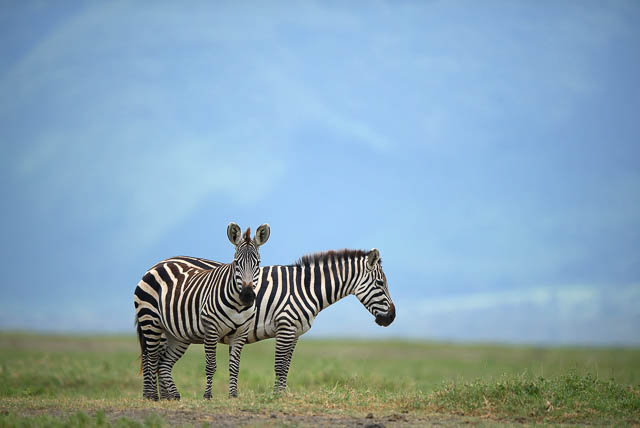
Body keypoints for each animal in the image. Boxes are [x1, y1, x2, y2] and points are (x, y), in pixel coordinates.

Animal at [133, 222, 270, 400]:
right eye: (236, 263)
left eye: (258, 263)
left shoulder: (241, 332)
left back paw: (173, 396)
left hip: (176, 334)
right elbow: (211, 365)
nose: (247, 295)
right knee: (151, 358)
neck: (238, 306)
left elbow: (235, 366)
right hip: (150, 321)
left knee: (163, 364)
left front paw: (233, 395)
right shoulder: (211, 329)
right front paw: (207, 395)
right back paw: (151, 397)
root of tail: (157, 265)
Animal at [158, 248, 395, 393]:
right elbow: (280, 366)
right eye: (380, 283)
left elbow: (287, 366)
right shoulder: (285, 326)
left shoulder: (295, 332)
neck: (305, 288)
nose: (392, 317)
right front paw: (276, 397)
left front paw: (282, 394)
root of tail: (163, 261)